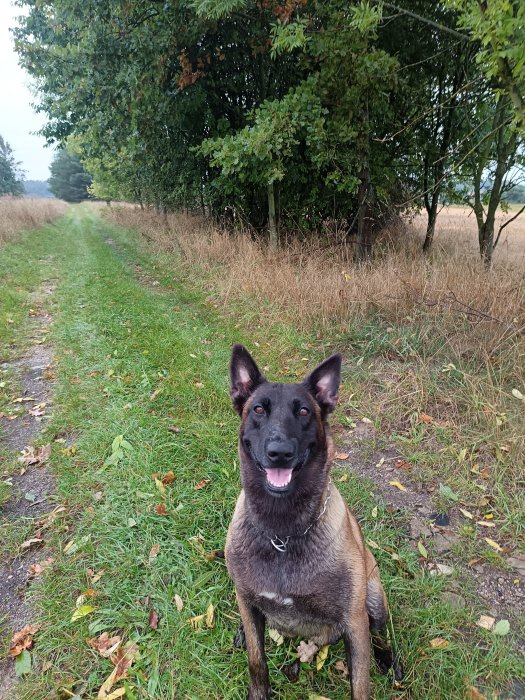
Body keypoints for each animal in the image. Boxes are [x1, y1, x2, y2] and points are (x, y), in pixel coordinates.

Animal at [225, 344, 401, 699]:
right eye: (259, 409)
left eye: (304, 412)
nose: (280, 452)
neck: (282, 533)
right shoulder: (247, 601)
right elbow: (256, 660)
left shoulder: (354, 624)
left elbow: (361, 685)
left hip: (374, 599)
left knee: (379, 634)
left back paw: (388, 659)